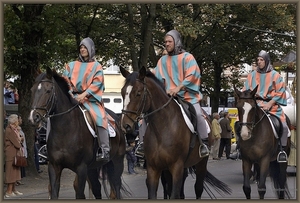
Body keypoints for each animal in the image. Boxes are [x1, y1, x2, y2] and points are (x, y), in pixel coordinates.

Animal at [28, 67, 126, 199]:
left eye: (48, 90)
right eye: (32, 90)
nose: (33, 118)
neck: (65, 132)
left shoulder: (81, 169)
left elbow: (79, 193)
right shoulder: (54, 167)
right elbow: (54, 193)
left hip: (117, 163)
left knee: (116, 186)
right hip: (93, 168)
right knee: (97, 188)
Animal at [119, 66, 227, 198]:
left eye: (138, 93)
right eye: (122, 92)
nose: (125, 125)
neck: (163, 128)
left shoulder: (176, 167)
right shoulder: (153, 168)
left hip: (201, 163)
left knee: (198, 188)